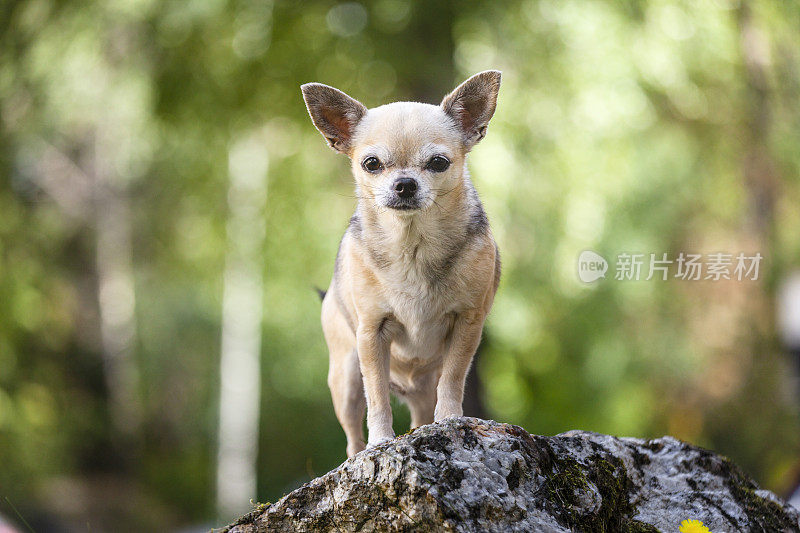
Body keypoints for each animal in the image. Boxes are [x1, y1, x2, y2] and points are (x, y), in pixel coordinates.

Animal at [300, 68, 500, 456]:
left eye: (438, 163)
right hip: (346, 378)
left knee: (426, 408)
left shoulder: (467, 325)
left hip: (423, 386)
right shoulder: (371, 334)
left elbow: (453, 379)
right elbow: (377, 395)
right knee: (352, 433)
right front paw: (381, 440)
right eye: (371, 164)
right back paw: (360, 454)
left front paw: (450, 420)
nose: (405, 184)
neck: (412, 245)